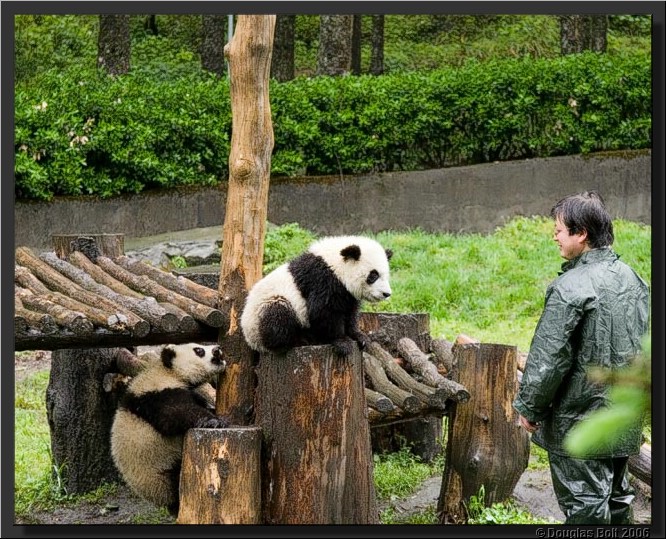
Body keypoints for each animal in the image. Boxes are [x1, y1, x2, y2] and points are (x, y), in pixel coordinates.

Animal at [110, 343, 230, 516]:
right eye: (198, 350)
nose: (217, 348)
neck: (169, 372)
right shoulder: (157, 395)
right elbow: (175, 415)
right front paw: (213, 421)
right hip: (160, 469)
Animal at [240, 235, 393, 358]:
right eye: (373, 275)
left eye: (386, 275)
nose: (386, 294)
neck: (335, 265)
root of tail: (251, 341)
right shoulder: (322, 280)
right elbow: (323, 311)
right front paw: (342, 343)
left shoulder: (347, 293)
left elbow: (350, 313)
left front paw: (360, 337)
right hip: (264, 310)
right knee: (277, 317)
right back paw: (299, 341)